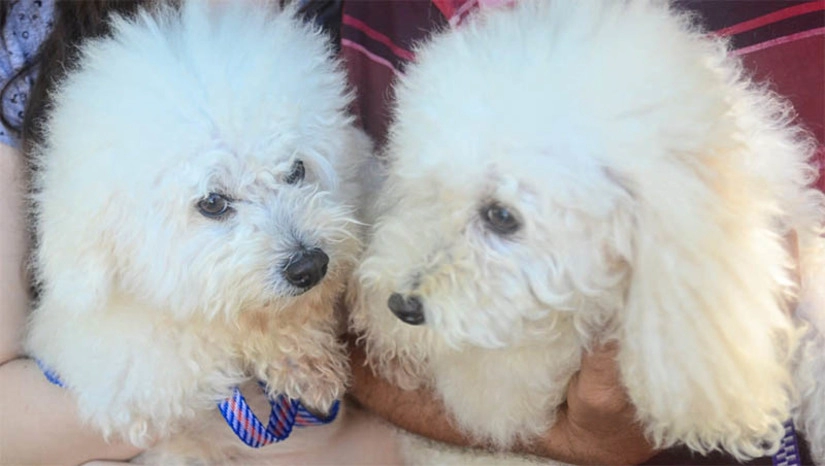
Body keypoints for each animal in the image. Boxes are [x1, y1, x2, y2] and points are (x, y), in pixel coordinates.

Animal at [26, 0, 366, 462]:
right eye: (213, 203)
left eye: (296, 170)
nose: (309, 266)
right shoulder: (123, 366)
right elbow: (200, 341)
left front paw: (303, 355)